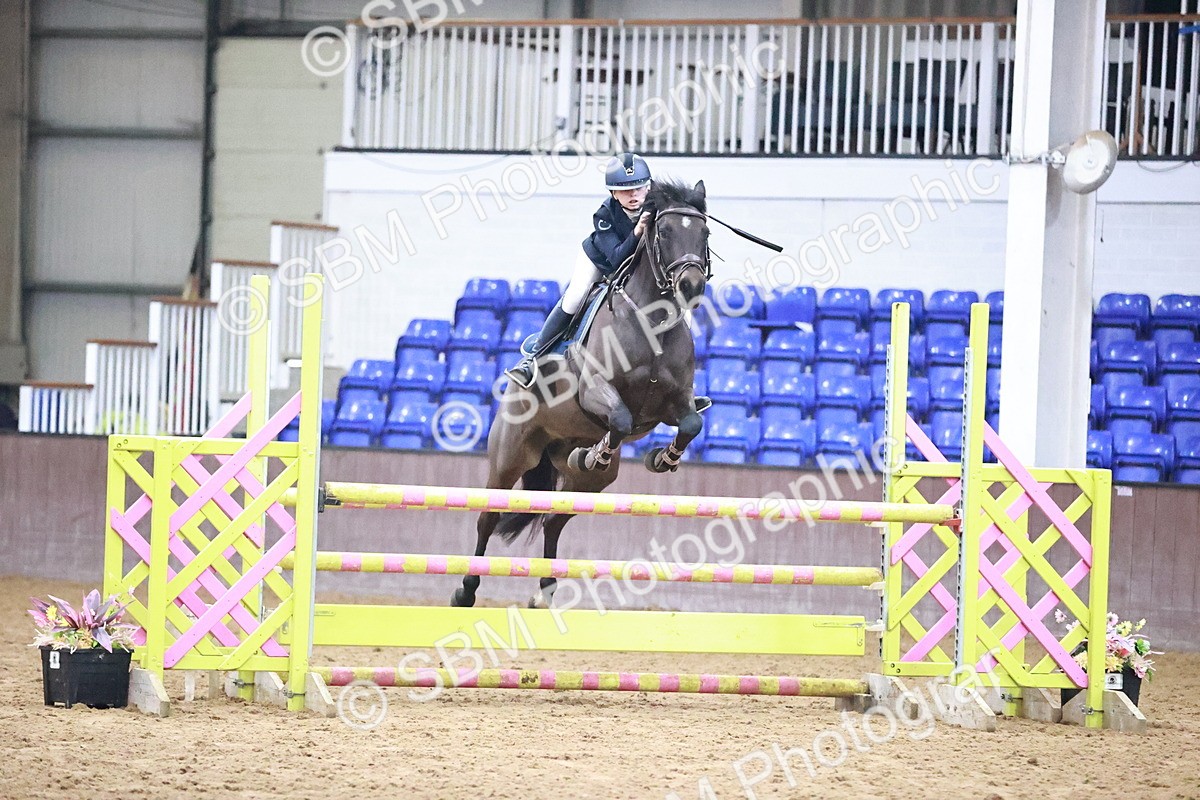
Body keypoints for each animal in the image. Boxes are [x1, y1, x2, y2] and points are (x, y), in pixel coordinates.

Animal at [451, 178, 713, 609]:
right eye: (664, 232)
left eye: (705, 234)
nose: (691, 286)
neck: (651, 323)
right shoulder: (595, 392)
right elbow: (620, 418)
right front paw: (598, 452)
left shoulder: (675, 403)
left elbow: (691, 423)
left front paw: (662, 459)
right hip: (510, 457)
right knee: (488, 517)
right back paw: (466, 590)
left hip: (590, 483)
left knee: (555, 519)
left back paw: (544, 591)